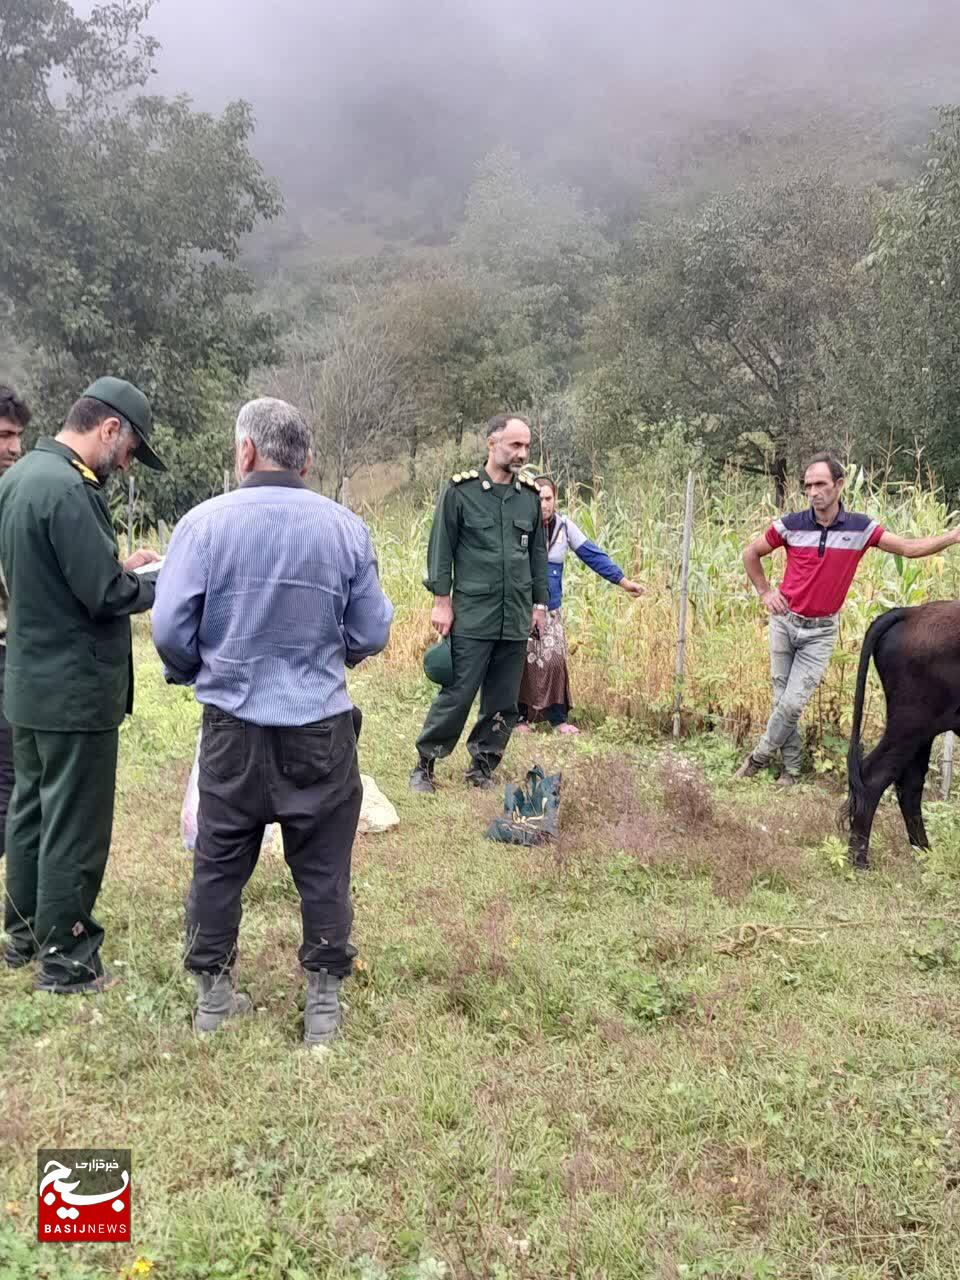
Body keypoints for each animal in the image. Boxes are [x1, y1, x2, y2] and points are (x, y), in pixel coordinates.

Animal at [849, 601, 960, 870]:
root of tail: (911, 611)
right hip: (910, 724)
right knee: (874, 777)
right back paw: (859, 861)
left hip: (922, 732)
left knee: (909, 784)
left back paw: (925, 853)